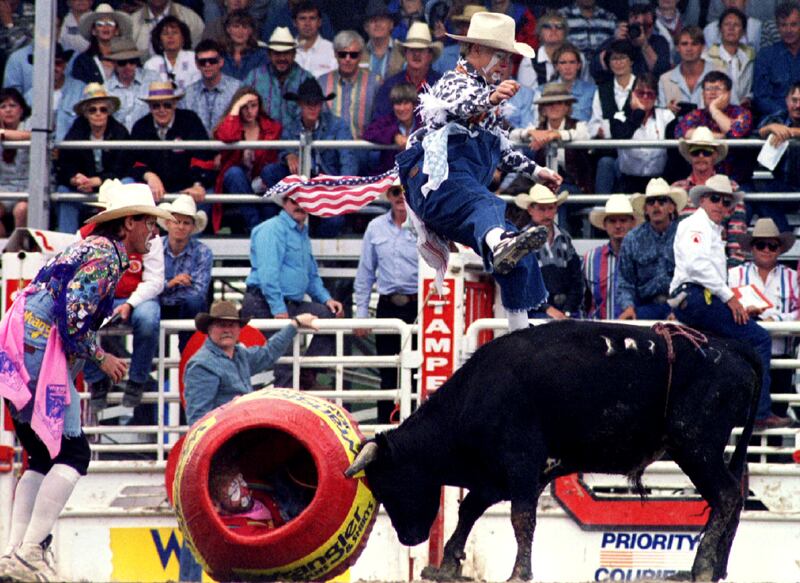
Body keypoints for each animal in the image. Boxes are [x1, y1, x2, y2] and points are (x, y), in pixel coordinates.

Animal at [346, 322, 760, 580]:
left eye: (387, 484)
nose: (409, 539)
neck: (478, 395)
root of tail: (728, 348)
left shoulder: (521, 466)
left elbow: (521, 519)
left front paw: (518, 572)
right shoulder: (496, 475)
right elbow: (469, 511)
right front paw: (447, 564)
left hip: (696, 446)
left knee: (725, 496)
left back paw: (702, 567)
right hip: (704, 451)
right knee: (732, 499)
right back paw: (715, 568)